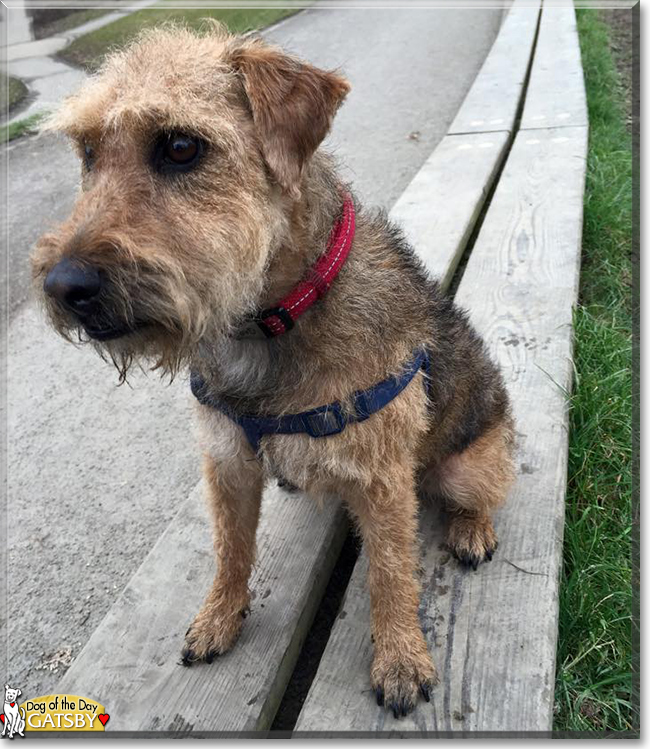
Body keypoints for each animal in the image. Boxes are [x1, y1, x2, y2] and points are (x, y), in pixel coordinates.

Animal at [33, 24, 512, 720]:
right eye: (88, 151)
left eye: (180, 146)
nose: (63, 287)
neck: (270, 322)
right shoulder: (228, 460)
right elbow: (230, 551)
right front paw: (219, 619)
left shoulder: (382, 478)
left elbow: (391, 572)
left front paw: (400, 659)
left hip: (467, 462)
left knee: (485, 492)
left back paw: (472, 530)